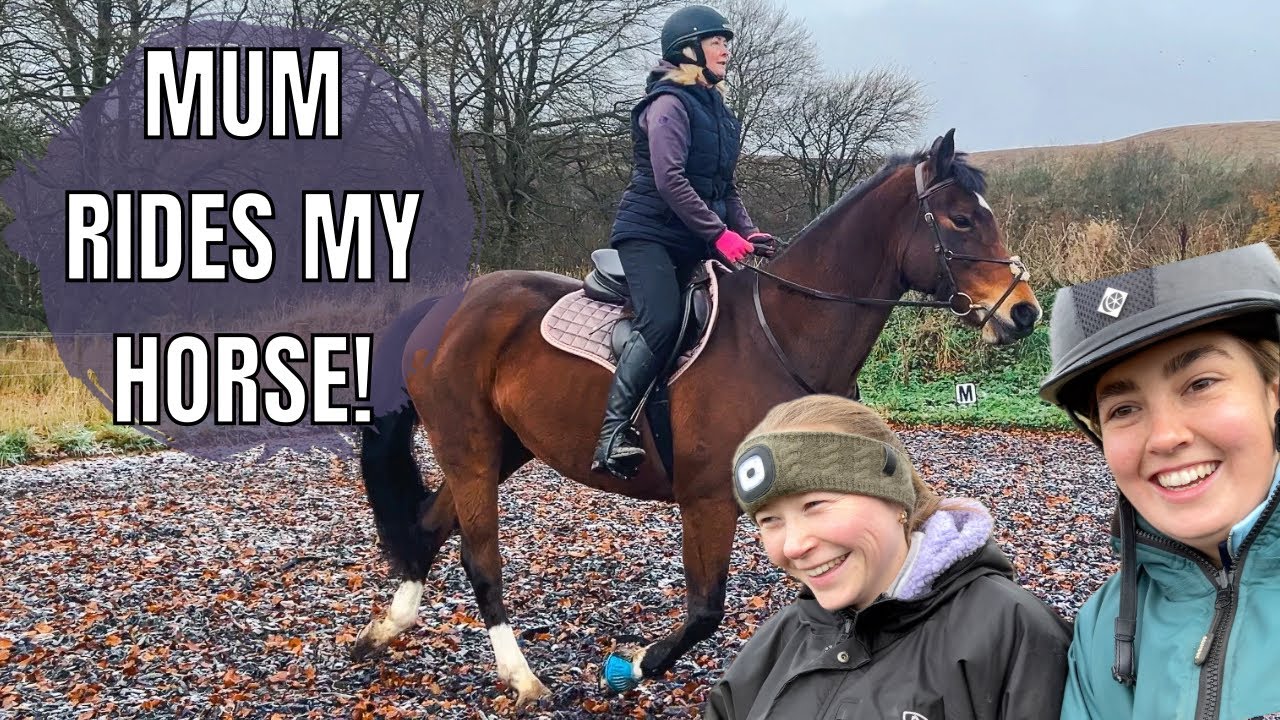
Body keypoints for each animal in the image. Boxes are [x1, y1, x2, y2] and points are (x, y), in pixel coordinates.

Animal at [350, 130, 1042, 707]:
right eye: (960, 220)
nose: (1024, 313)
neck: (781, 333)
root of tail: (448, 305)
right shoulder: (707, 500)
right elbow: (707, 608)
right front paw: (636, 663)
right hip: (466, 448)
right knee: (480, 559)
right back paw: (519, 676)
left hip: (501, 447)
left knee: (427, 525)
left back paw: (384, 630)